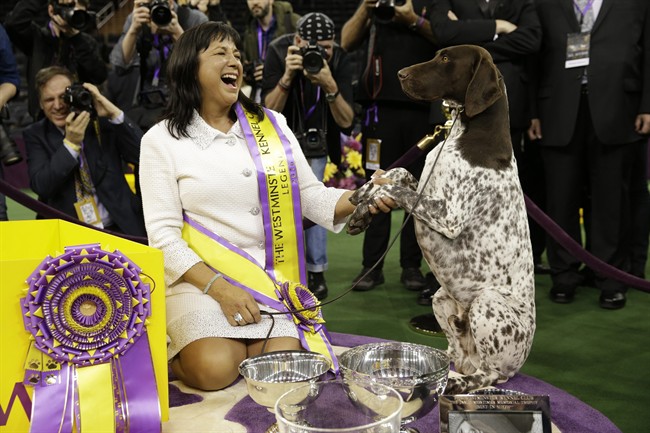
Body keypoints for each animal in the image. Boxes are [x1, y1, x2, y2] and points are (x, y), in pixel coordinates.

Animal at [346, 45, 536, 394]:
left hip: (486, 303)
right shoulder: (424, 186)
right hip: (441, 297)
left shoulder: (448, 215)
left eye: (446, 59)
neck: (464, 135)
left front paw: (369, 197)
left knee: (488, 374)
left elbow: (393, 185)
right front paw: (362, 201)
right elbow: (398, 172)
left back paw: (458, 383)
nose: (400, 74)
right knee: (456, 354)